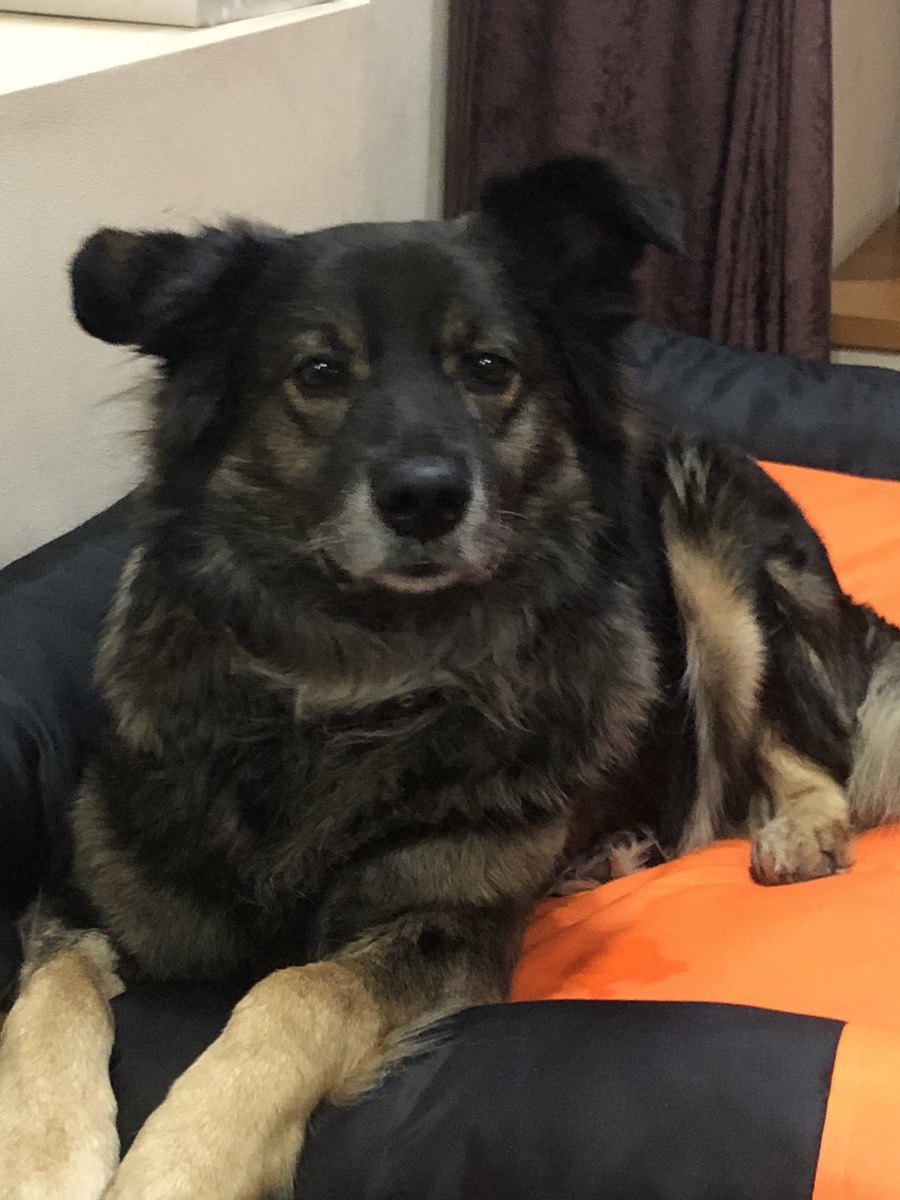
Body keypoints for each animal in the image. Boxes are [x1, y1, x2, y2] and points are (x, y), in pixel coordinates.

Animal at [3, 155, 900, 1200]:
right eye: (318, 373)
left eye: (488, 369)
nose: (426, 499)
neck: (356, 680)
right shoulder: (81, 898)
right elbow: (46, 1000)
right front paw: (42, 1160)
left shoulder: (446, 930)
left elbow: (293, 991)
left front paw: (180, 1167)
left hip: (705, 527)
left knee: (793, 752)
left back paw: (798, 827)